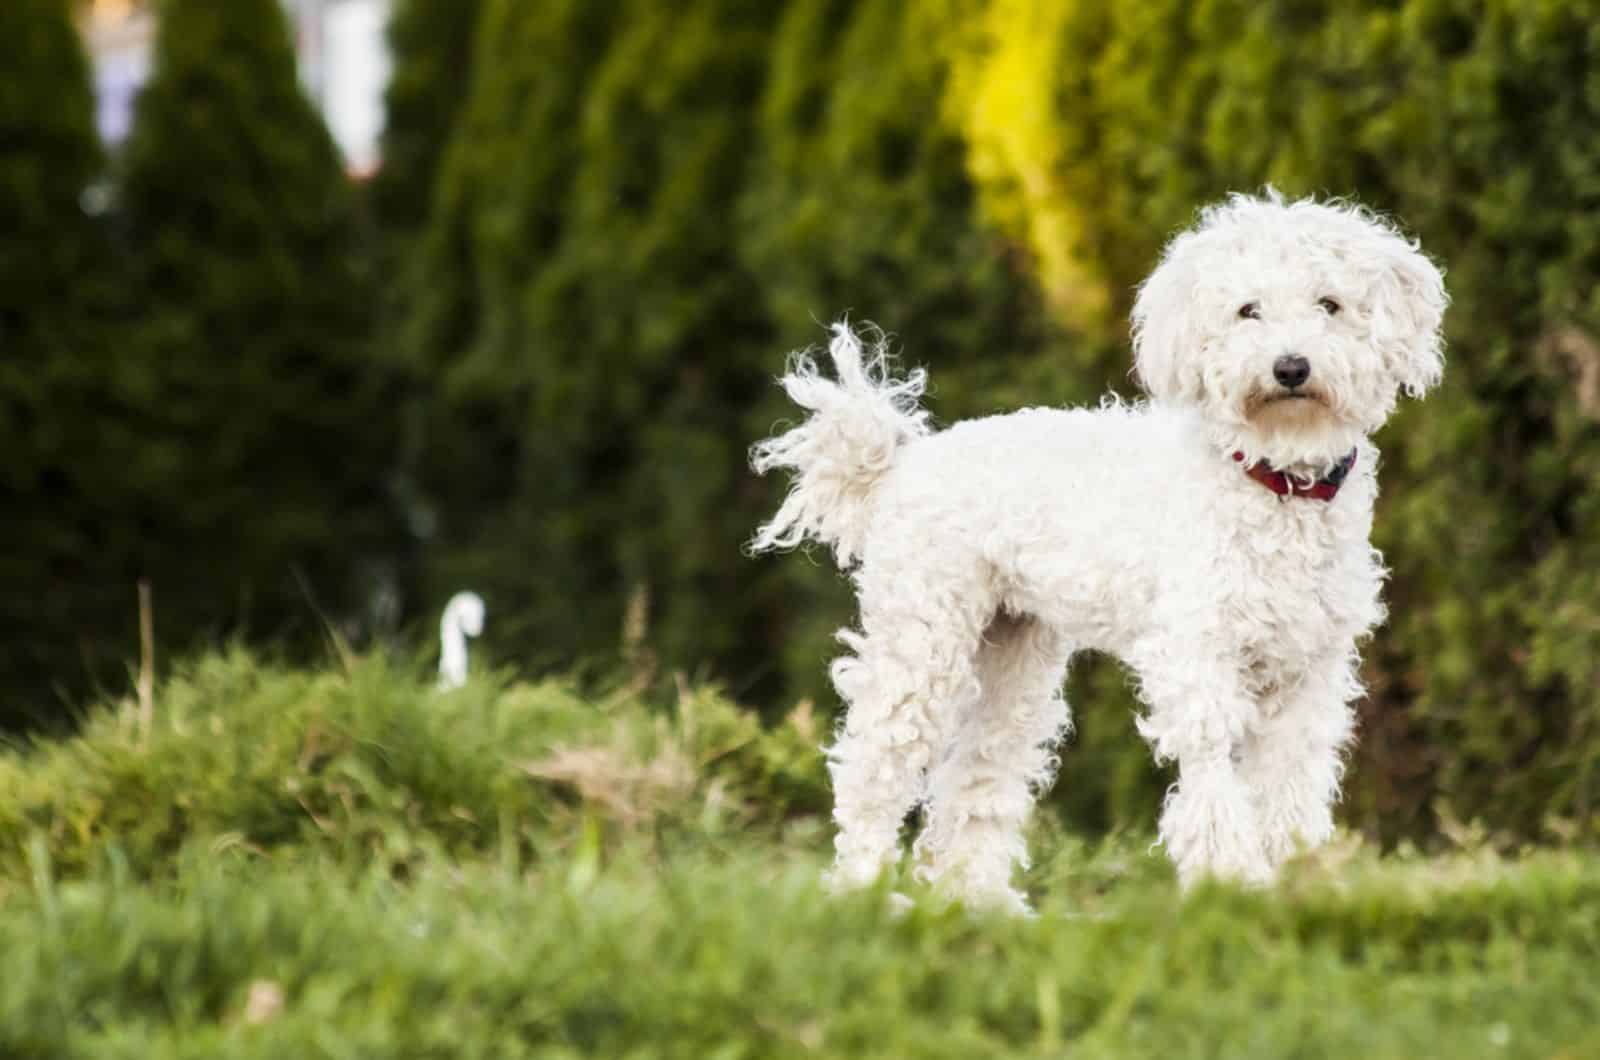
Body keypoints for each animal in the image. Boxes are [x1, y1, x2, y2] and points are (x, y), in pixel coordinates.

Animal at [748, 192, 1452, 915]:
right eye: (1247, 310)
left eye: (1330, 304)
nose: (1290, 367)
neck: (1272, 478)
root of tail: (902, 461)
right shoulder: (1198, 655)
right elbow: (1212, 771)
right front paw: (1231, 882)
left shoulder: (1307, 669)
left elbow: (1289, 780)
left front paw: (1294, 882)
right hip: (923, 640)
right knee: (874, 766)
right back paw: (864, 895)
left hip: (1013, 656)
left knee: (978, 773)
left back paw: (983, 904)